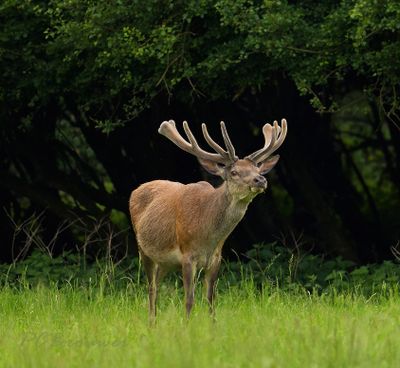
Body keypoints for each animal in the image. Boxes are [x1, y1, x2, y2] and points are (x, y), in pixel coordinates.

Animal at [130, 119, 290, 320]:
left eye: (257, 169)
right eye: (234, 172)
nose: (260, 180)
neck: (207, 236)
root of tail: (136, 190)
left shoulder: (216, 259)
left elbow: (211, 300)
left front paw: (212, 326)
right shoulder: (187, 255)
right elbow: (189, 301)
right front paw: (186, 325)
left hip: (164, 262)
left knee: (157, 286)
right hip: (143, 250)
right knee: (151, 289)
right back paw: (151, 322)